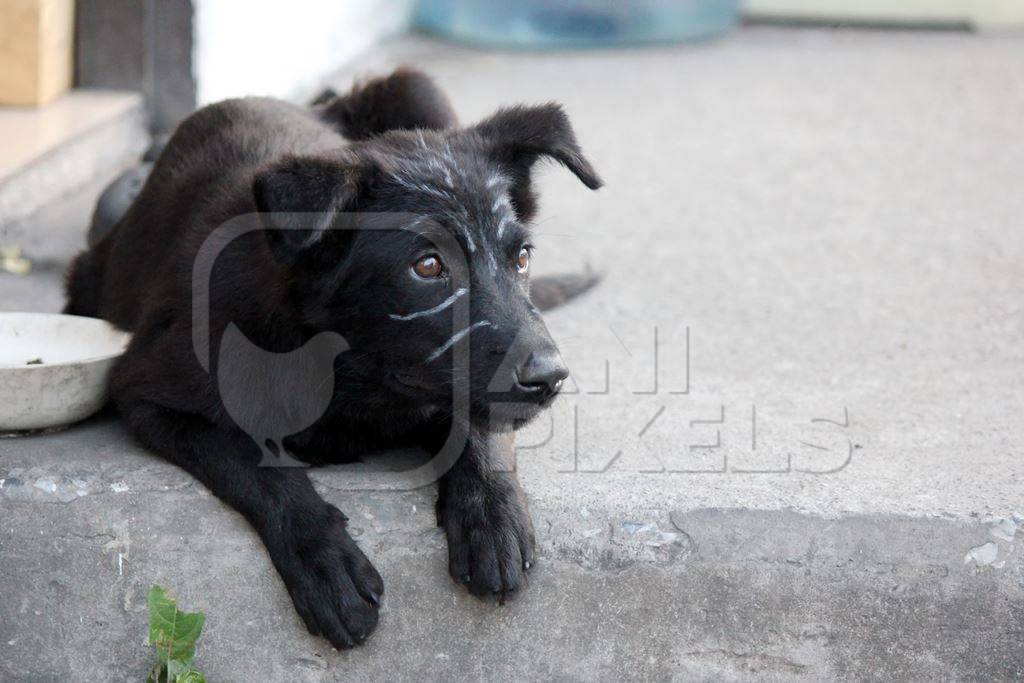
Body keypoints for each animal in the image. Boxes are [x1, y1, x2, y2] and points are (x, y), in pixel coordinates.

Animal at [66, 66, 598, 651]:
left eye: (521, 257)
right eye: (427, 266)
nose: (550, 377)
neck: (351, 373)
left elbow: (477, 425)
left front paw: (490, 514)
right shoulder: (148, 393)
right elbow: (258, 465)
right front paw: (325, 562)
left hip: (418, 85)